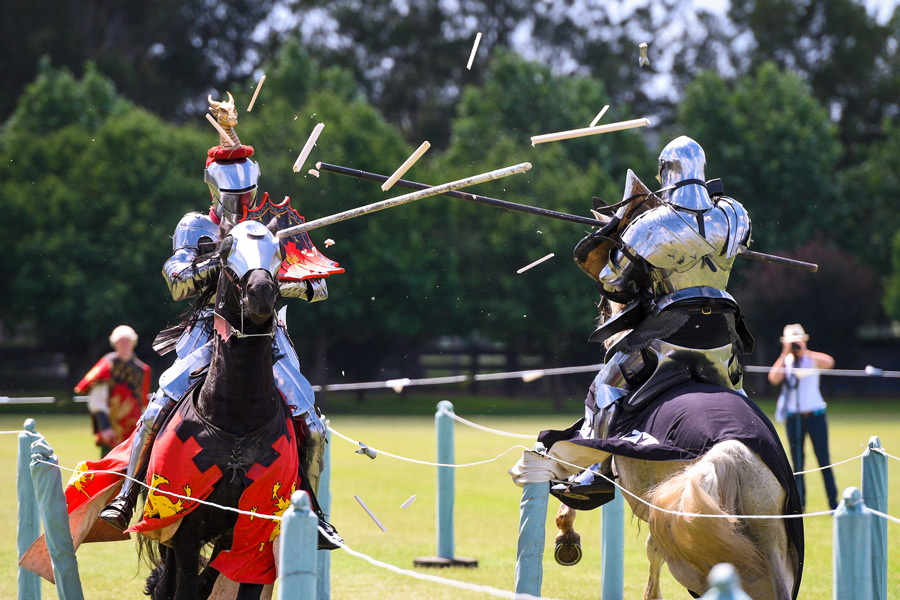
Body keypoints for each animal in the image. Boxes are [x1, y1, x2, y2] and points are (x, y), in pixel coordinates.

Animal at [141, 219, 296, 600]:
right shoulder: (183, 527)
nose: (260, 293)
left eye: (278, 251)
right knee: (168, 582)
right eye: (226, 250)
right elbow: (182, 586)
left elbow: (213, 580)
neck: (236, 418)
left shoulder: (245, 532)